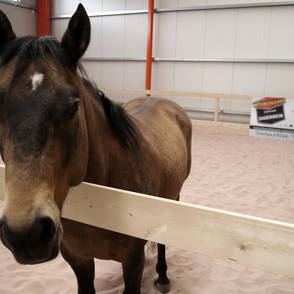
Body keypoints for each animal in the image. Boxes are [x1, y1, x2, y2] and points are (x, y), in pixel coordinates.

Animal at [0, 4, 192, 294]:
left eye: (73, 106)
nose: (26, 234)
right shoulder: (78, 260)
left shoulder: (132, 262)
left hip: (173, 197)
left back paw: (162, 275)